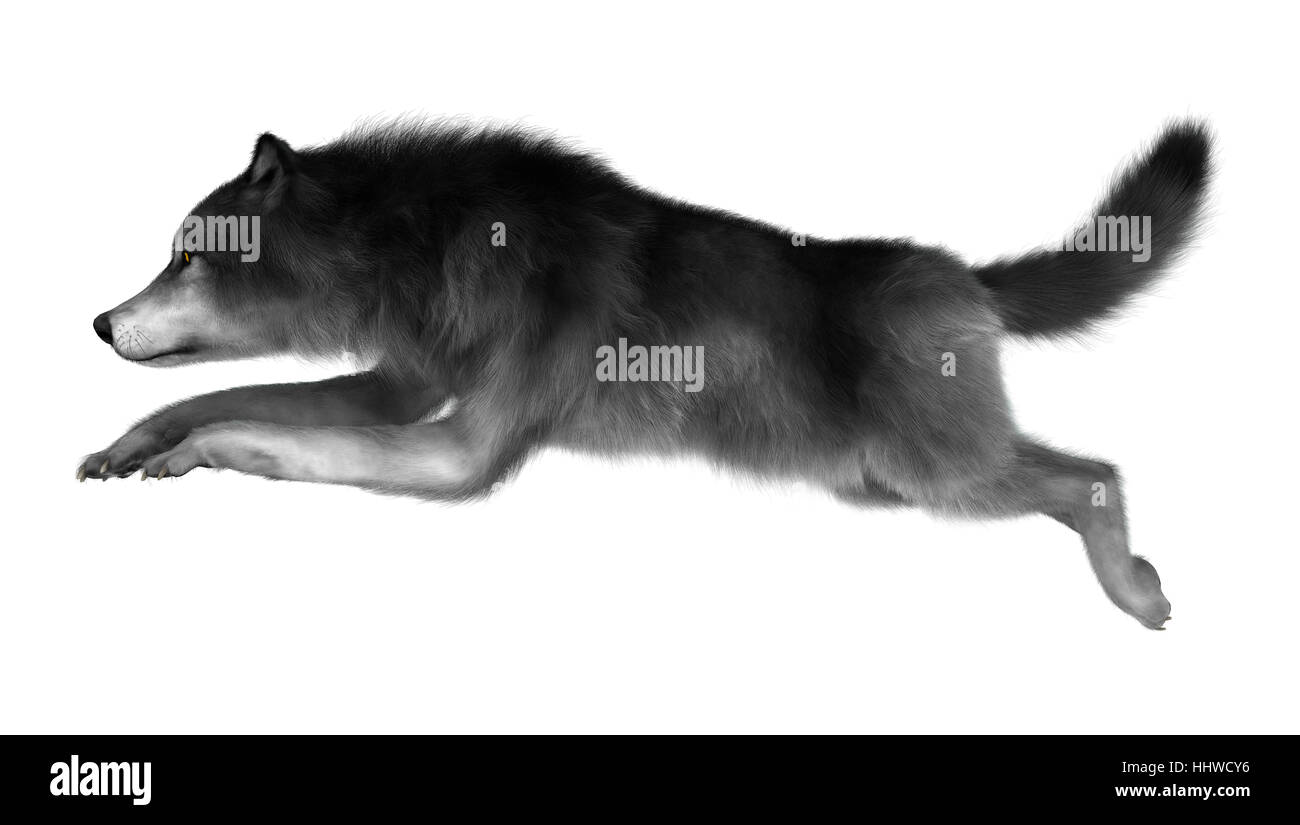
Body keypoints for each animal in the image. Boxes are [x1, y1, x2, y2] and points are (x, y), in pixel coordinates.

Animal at [78, 120, 1211, 629]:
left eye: (187, 257)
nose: (97, 323)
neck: (427, 245)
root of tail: (964, 276)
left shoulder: (456, 453)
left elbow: (263, 434)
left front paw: (194, 453)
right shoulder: (401, 385)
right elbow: (225, 395)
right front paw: (137, 440)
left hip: (939, 476)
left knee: (1095, 474)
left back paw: (1137, 590)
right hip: (888, 483)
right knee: (1066, 479)